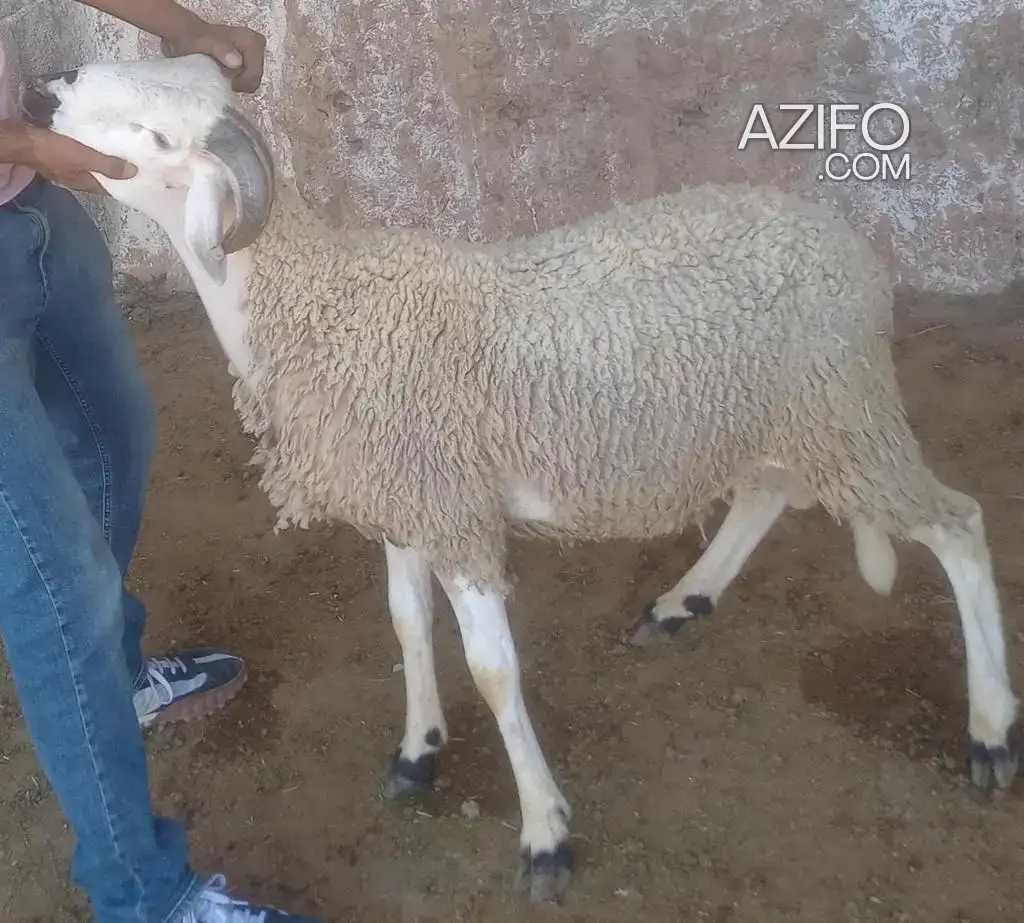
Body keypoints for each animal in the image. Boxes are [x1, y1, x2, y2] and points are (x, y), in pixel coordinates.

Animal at [20, 50, 1019, 903]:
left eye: (156, 134)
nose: (38, 90)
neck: (321, 303)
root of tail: (847, 241)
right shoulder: (409, 499)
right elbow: (406, 623)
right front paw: (418, 750)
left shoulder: (458, 519)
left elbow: (495, 672)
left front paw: (545, 834)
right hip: (779, 417)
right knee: (768, 491)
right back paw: (682, 601)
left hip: (844, 412)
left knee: (959, 524)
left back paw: (991, 730)